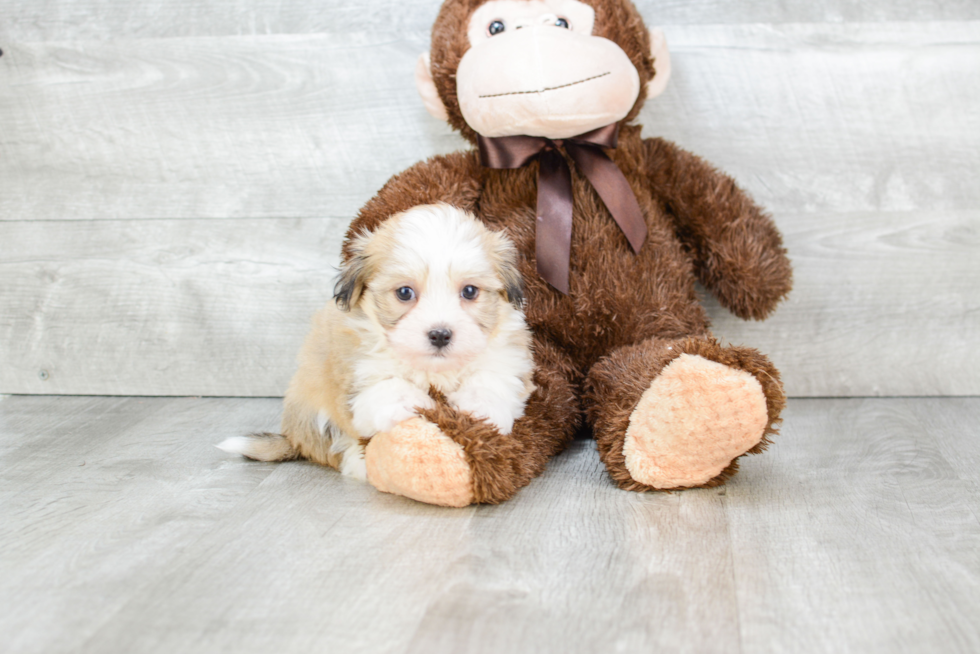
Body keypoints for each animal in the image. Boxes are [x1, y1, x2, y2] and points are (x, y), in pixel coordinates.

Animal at [219, 202, 536, 480]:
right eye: (405, 293)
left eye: (469, 291)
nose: (440, 334)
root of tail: (293, 436)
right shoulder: (356, 374)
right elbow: (385, 386)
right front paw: (411, 401)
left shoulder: (507, 354)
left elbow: (492, 378)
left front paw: (480, 407)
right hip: (314, 407)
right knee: (335, 446)